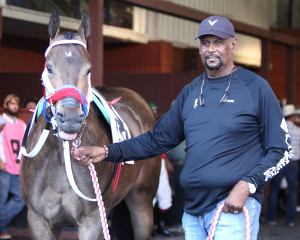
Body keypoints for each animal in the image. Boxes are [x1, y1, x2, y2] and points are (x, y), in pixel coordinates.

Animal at [19, 10, 161, 239]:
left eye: (89, 69)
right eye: (48, 67)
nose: (70, 118)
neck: (59, 156)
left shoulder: (92, 221)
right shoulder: (39, 220)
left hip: (142, 200)